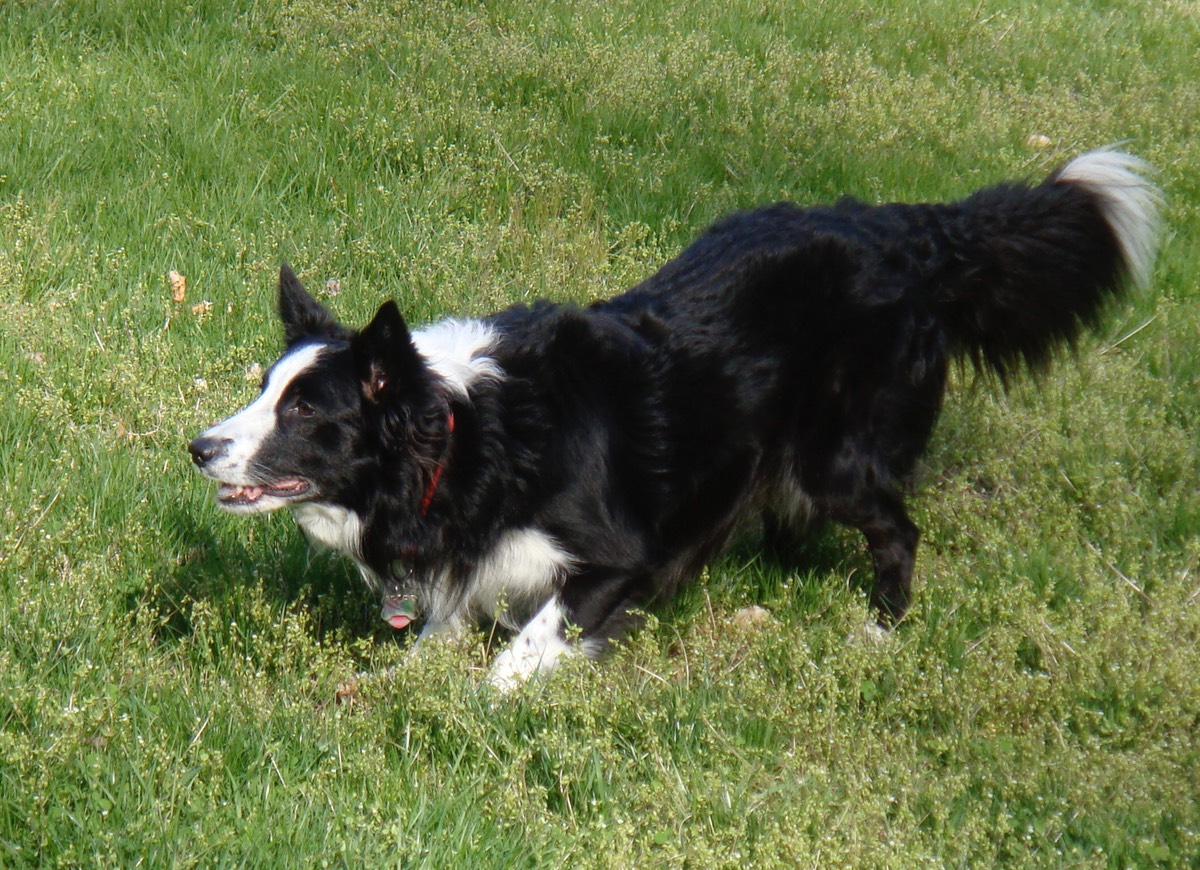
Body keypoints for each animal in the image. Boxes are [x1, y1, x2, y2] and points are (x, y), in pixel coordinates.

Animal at [192, 149, 1156, 686]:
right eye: (263, 389)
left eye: (305, 410)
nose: (197, 448)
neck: (470, 437)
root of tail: (909, 232)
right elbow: (440, 626)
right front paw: (403, 685)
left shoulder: (623, 554)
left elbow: (532, 640)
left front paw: (483, 699)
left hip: (835, 455)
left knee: (896, 527)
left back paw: (881, 629)